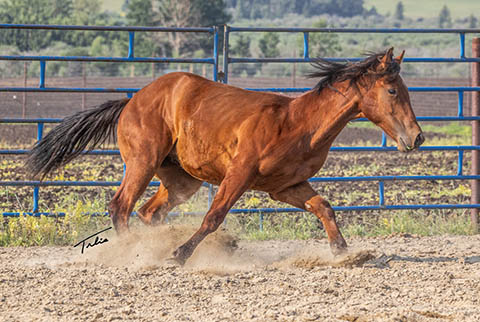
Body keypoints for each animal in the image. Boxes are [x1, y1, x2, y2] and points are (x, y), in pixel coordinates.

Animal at [26, 47, 424, 264]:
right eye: (392, 90)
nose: (417, 137)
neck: (299, 124)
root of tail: (131, 102)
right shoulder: (239, 175)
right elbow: (213, 216)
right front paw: (181, 254)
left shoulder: (285, 187)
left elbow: (324, 207)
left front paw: (344, 253)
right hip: (142, 162)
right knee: (120, 206)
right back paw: (133, 251)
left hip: (181, 179)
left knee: (149, 212)